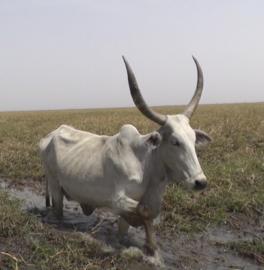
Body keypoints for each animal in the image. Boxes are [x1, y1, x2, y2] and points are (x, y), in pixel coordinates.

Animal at [39, 56, 212, 254]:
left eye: (193, 139)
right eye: (175, 141)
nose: (200, 182)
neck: (147, 164)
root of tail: (50, 136)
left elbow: (134, 223)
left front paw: (149, 247)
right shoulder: (117, 200)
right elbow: (144, 212)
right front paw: (149, 244)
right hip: (54, 184)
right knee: (58, 210)